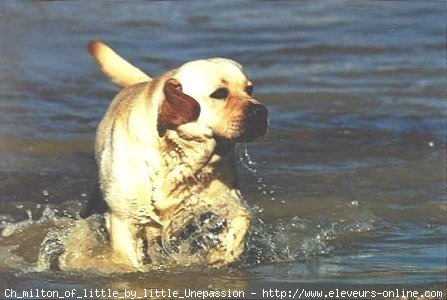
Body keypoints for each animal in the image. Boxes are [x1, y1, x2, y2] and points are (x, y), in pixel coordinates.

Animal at [88, 40, 270, 270]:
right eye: (219, 94)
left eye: (250, 89)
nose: (261, 112)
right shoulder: (123, 220)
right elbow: (130, 260)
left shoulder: (227, 199)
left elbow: (242, 221)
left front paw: (222, 254)